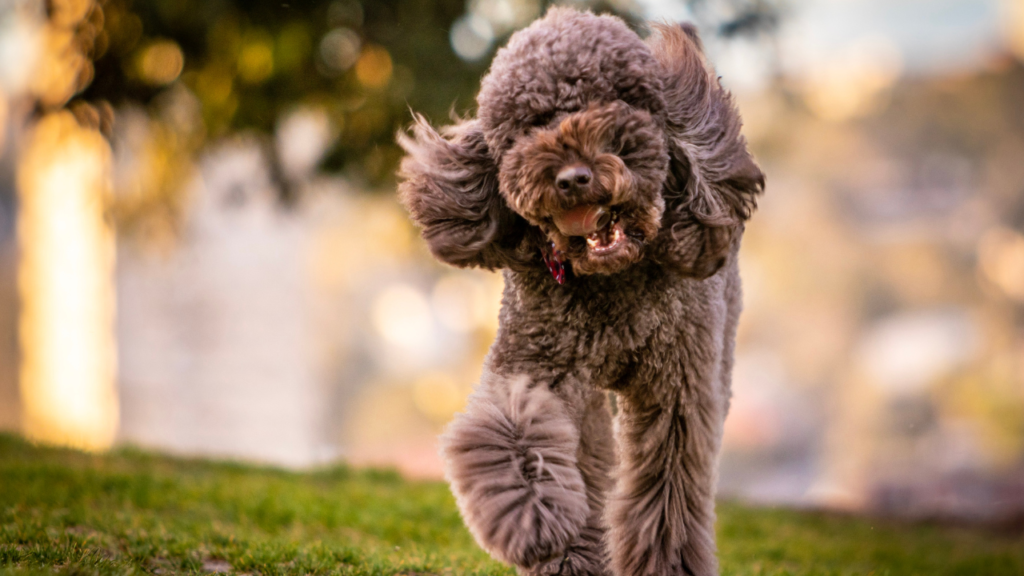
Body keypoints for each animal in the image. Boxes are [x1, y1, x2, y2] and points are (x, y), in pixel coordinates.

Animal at [395, 5, 765, 573]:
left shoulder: (679, 390)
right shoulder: (538, 365)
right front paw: (542, 527)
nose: (572, 178)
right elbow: (513, 433)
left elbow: (668, 487)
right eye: (531, 124)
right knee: (586, 454)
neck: (610, 280)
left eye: (616, 102)